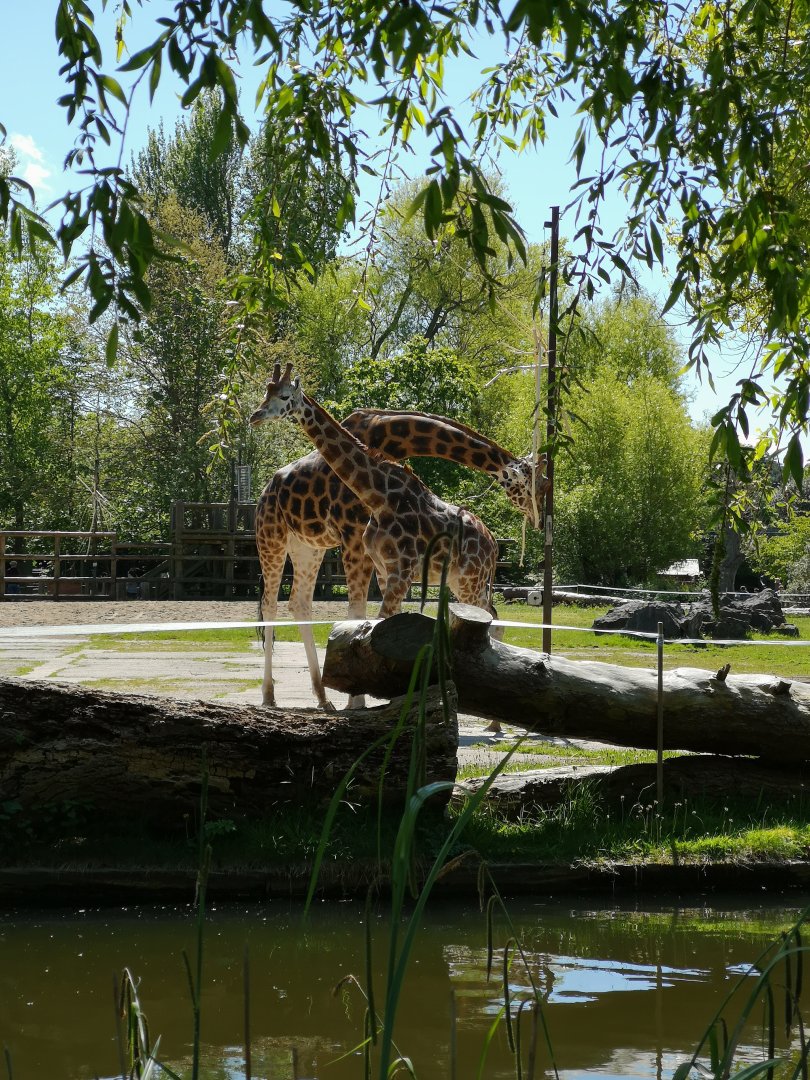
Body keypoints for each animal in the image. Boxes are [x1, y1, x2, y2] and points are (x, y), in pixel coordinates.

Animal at [249, 363, 501, 708]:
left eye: (285, 396)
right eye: (267, 391)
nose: (255, 415)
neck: (378, 494)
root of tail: (494, 544)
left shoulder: (397, 570)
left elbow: (374, 624)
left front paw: (367, 698)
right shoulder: (384, 568)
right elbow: (373, 626)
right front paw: (370, 696)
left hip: (468, 581)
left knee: (490, 619)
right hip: (282, 542)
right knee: (280, 604)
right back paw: (278, 695)